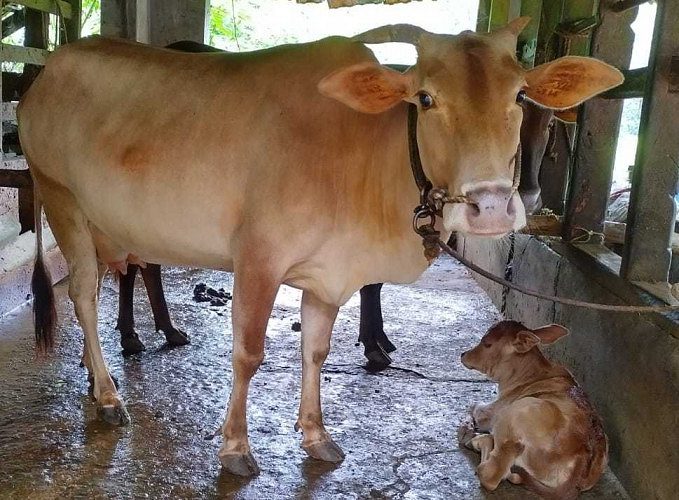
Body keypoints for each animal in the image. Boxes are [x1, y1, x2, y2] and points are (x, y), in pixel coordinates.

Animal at [19, 18, 622, 476]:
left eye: (519, 95)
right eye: (426, 98)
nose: (492, 206)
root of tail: (50, 68)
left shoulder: (330, 276)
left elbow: (315, 351)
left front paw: (314, 436)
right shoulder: (258, 259)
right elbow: (248, 354)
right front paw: (235, 448)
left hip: (104, 223)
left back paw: (97, 375)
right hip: (62, 200)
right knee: (83, 295)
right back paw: (107, 396)